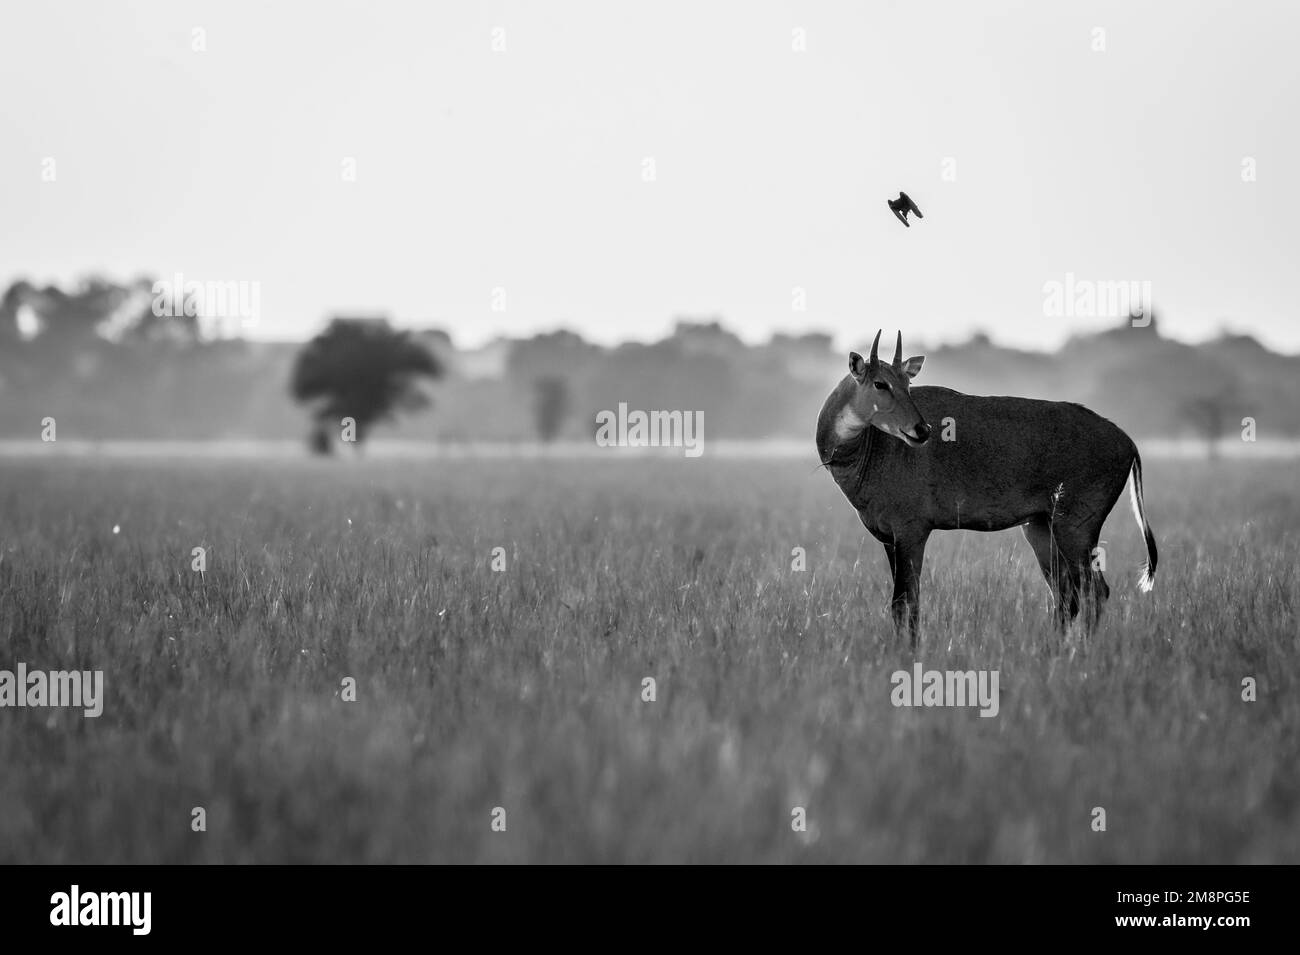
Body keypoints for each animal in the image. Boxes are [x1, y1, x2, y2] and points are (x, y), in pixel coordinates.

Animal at [816, 330, 1164, 649]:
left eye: (907, 385)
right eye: (880, 383)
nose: (922, 430)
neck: (869, 449)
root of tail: (1128, 442)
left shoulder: (911, 531)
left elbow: (905, 602)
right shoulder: (890, 538)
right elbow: (904, 602)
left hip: (1076, 527)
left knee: (1094, 589)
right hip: (1040, 527)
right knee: (1066, 592)